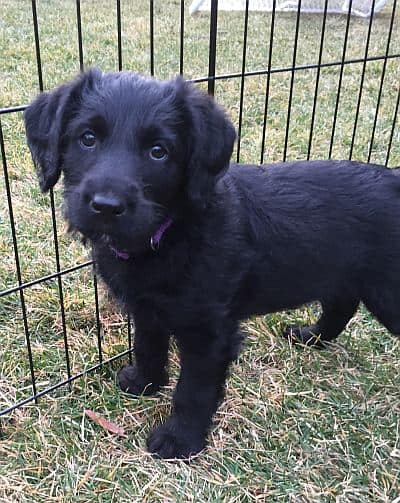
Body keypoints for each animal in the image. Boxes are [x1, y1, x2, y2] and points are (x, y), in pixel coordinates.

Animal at [24, 71, 400, 460]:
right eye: (87, 138)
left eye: (158, 151)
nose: (107, 206)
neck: (170, 232)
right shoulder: (147, 310)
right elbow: (147, 345)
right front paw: (144, 382)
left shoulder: (209, 332)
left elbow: (194, 390)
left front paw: (179, 440)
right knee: (342, 304)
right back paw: (311, 337)